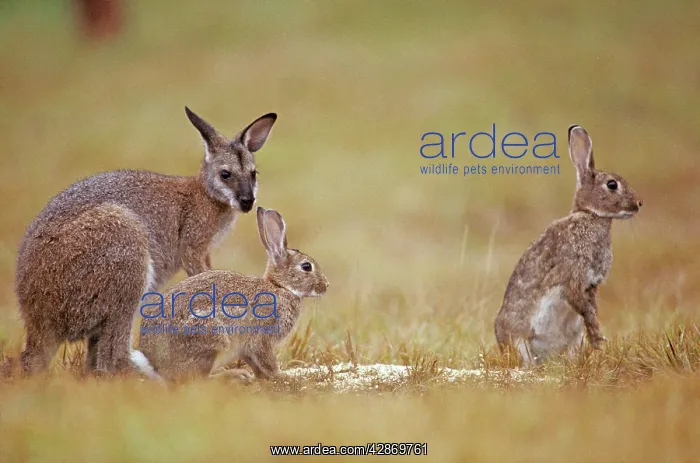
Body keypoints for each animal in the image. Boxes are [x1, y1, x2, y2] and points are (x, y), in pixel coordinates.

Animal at [14, 107, 277, 375]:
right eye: (225, 175)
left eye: (253, 174)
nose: (247, 202)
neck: (205, 196)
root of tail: (37, 324)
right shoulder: (192, 244)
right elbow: (201, 273)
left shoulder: (204, 250)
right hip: (124, 247)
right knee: (113, 357)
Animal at [131, 207, 329, 382]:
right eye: (306, 266)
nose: (326, 285)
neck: (280, 287)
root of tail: (156, 365)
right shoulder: (262, 337)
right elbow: (267, 361)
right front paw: (282, 376)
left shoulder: (246, 348)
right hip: (212, 337)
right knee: (197, 380)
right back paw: (234, 375)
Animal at [494, 125, 643, 365]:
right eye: (612, 184)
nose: (639, 204)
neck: (591, 216)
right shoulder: (573, 274)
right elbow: (581, 304)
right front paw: (599, 339)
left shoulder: (591, 286)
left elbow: (590, 309)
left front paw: (597, 339)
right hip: (518, 339)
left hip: (573, 338)